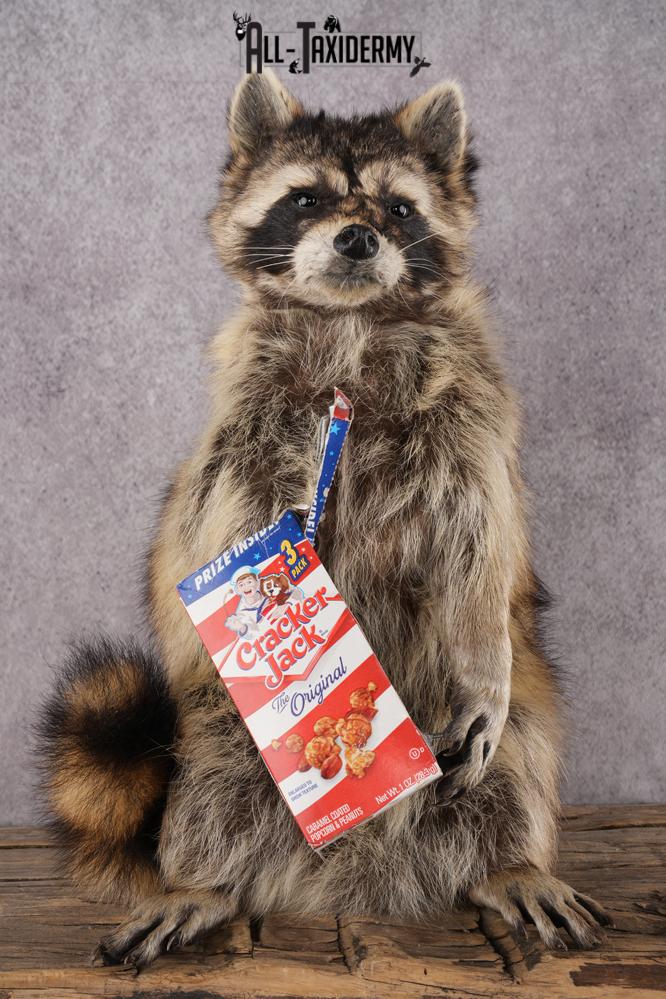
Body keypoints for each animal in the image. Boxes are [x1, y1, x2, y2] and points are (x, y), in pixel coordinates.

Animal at [38, 70, 611, 969]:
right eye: (304, 198)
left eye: (400, 209)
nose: (356, 240)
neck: (352, 319)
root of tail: (351, 871)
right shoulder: (248, 419)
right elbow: (218, 519)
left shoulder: (471, 410)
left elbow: (479, 539)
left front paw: (481, 644)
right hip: (218, 729)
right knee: (212, 774)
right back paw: (204, 878)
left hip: (509, 719)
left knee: (516, 756)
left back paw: (509, 862)